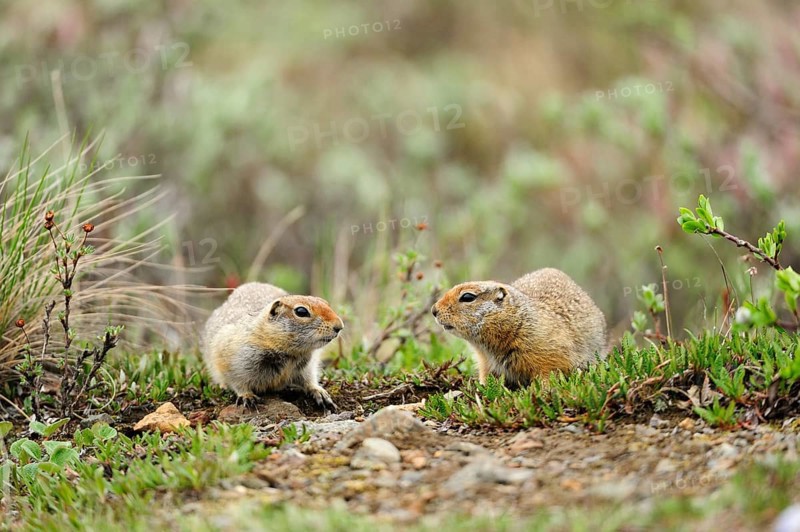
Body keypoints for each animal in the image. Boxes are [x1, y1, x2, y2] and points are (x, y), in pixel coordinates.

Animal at [202, 282, 343, 410]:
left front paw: (320, 392)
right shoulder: (229, 361)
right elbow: (237, 382)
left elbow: (309, 379)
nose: (339, 326)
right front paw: (247, 397)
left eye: (325, 302)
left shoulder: (307, 365)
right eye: (301, 311)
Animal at [431, 268, 606, 388]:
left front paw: (542, 389)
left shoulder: (550, 354)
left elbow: (550, 373)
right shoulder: (485, 362)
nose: (433, 310)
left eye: (467, 297)